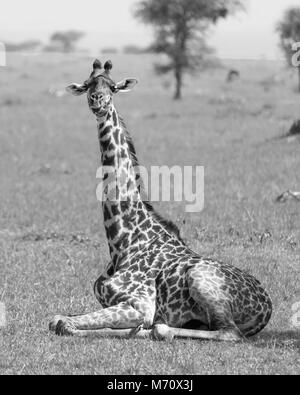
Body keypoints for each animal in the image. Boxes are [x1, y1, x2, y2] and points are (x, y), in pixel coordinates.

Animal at [48, 60, 272, 342]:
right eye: (88, 85)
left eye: (112, 86)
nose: (97, 100)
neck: (123, 242)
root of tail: (267, 308)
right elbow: (57, 318)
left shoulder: (140, 305)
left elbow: (63, 323)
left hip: (199, 278)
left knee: (227, 332)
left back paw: (159, 329)